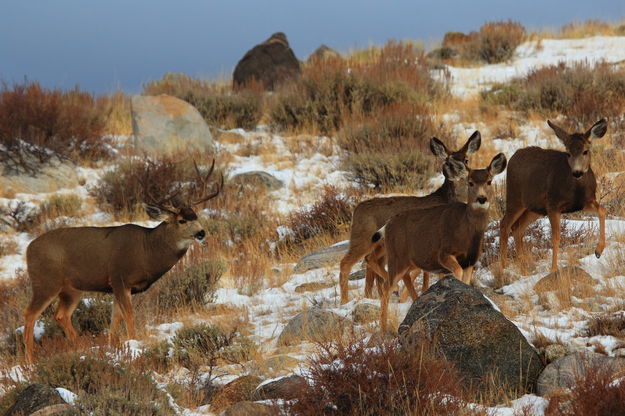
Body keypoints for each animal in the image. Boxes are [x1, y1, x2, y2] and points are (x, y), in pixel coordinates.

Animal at [23, 161, 223, 362]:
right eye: (181, 220)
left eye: (196, 216)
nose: (201, 233)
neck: (146, 251)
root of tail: (28, 249)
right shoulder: (119, 278)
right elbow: (129, 315)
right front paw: (134, 346)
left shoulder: (118, 287)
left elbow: (115, 320)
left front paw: (114, 348)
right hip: (45, 282)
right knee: (30, 314)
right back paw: (31, 361)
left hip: (71, 289)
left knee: (61, 315)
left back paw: (81, 347)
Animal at [338, 132, 480, 304]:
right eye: (447, 160)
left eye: (466, 159)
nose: (461, 171)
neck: (447, 199)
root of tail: (356, 210)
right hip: (362, 237)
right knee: (346, 263)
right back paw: (346, 301)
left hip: (380, 245)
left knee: (370, 261)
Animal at [372, 153, 504, 332]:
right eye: (470, 182)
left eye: (489, 181)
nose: (481, 199)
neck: (466, 231)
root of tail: (387, 225)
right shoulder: (444, 254)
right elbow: (457, 274)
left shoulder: (470, 262)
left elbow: (466, 283)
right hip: (396, 259)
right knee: (386, 288)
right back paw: (383, 328)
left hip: (409, 262)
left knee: (400, 281)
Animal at [500, 118, 608, 272]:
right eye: (568, 153)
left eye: (585, 151)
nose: (577, 172)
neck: (576, 189)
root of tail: (513, 156)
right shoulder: (553, 205)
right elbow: (556, 236)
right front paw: (553, 269)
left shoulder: (585, 202)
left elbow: (602, 210)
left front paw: (598, 251)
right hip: (515, 198)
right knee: (504, 225)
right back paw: (503, 266)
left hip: (534, 208)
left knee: (517, 228)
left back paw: (524, 265)